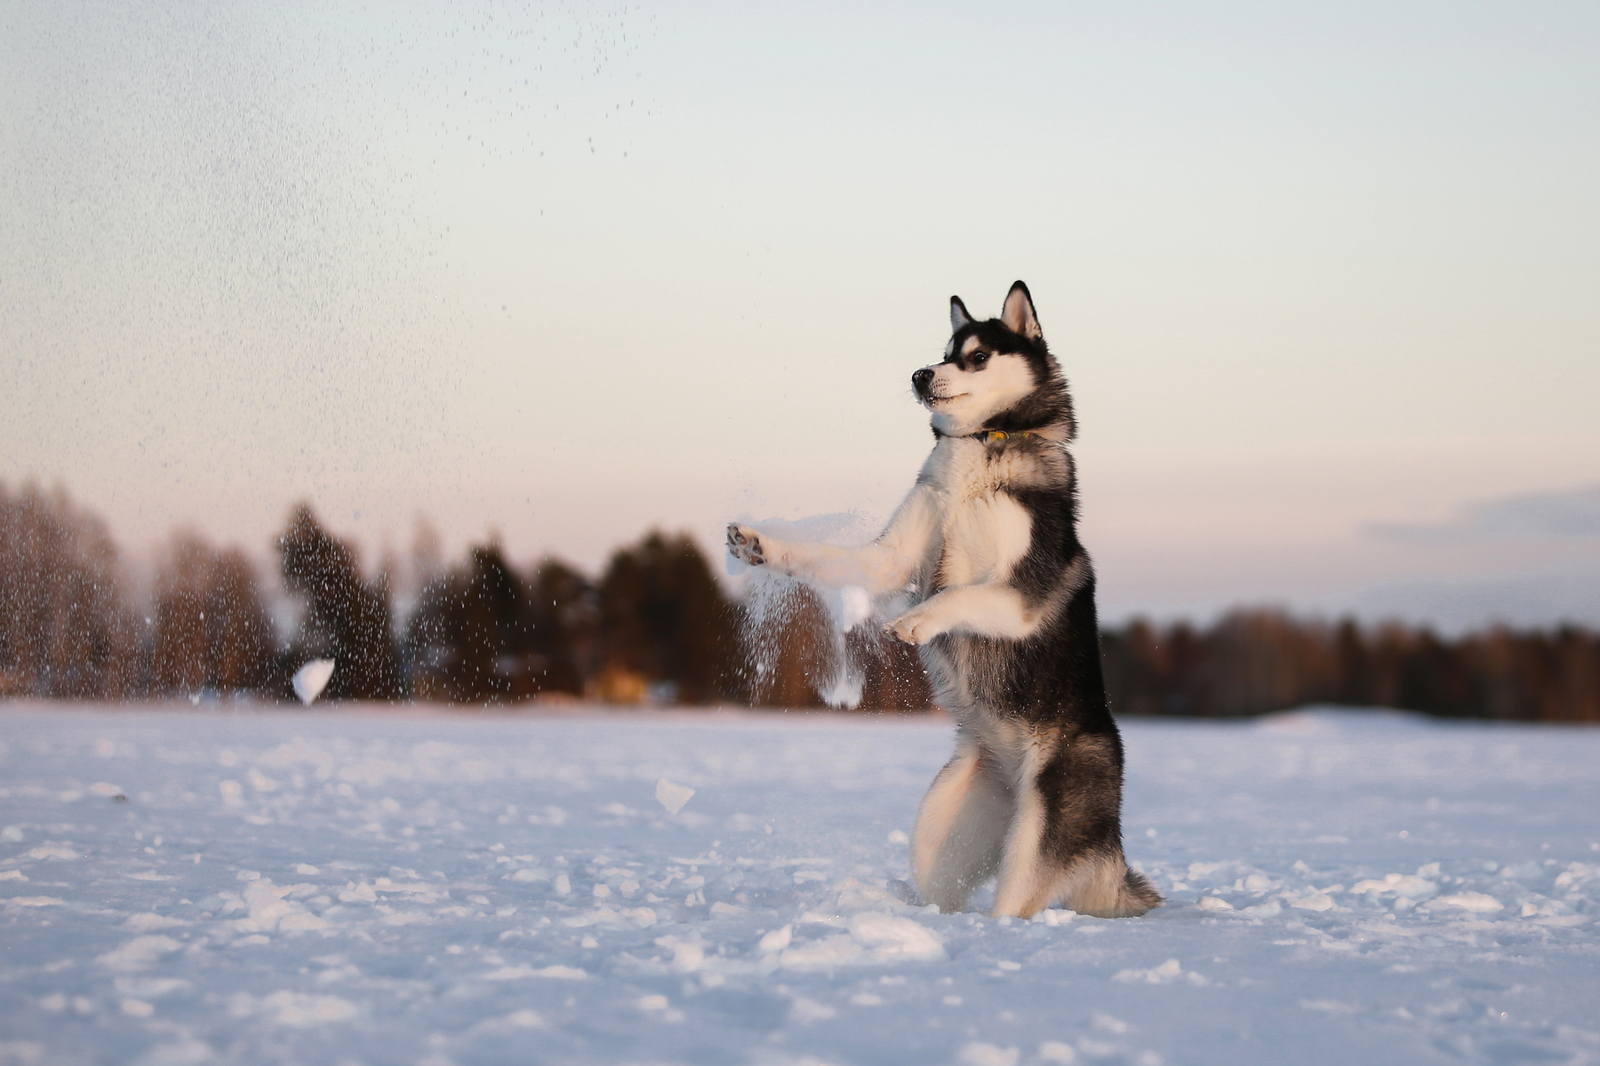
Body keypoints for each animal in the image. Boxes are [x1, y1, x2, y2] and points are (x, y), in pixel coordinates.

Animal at [729, 280, 1164, 915]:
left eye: (977, 356)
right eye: (944, 351)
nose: (918, 374)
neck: (982, 446)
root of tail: (1111, 837)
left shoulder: (1021, 596)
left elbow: (956, 595)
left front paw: (914, 623)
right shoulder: (891, 557)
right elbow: (827, 558)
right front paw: (760, 544)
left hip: (1036, 840)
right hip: (943, 828)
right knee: (941, 886)